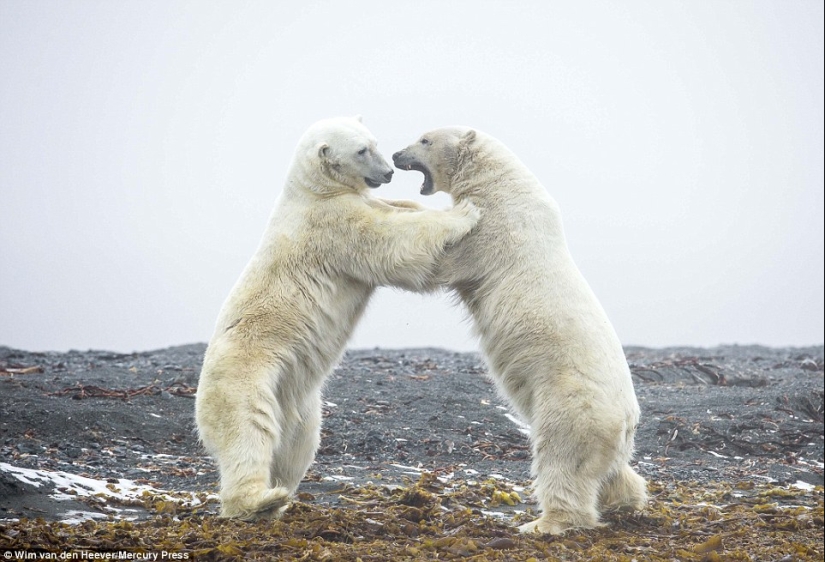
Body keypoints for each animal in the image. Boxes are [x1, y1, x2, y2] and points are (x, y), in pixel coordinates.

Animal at [196, 116, 480, 520]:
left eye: (374, 143)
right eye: (361, 151)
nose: (388, 172)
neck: (312, 191)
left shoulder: (357, 203)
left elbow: (397, 208)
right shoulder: (332, 226)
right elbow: (393, 242)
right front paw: (464, 211)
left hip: (297, 398)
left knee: (297, 443)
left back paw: (281, 494)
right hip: (244, 376)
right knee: (247, 430)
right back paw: (259, 501)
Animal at [390, 127, 648, 532]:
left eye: (425, 140)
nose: (396, 154)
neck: (500, 183)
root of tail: (626, 421)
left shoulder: (494, 228)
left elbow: (445, 261)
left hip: (572, 405)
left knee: (562, 459)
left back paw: (546, 523)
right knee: (612, 471)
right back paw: (627, 500)